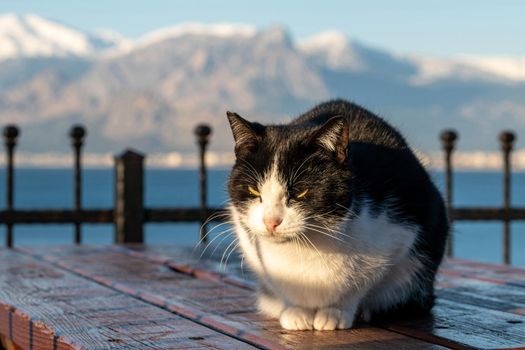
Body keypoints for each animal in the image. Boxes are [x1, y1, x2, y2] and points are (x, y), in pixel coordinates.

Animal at [225, 99, 446, 330]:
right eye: (253, 190)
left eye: (301, 192)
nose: (271, 221)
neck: (307, 245)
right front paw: (296, 310)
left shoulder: (400, 232)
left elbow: (362, 283)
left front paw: (336, 312)